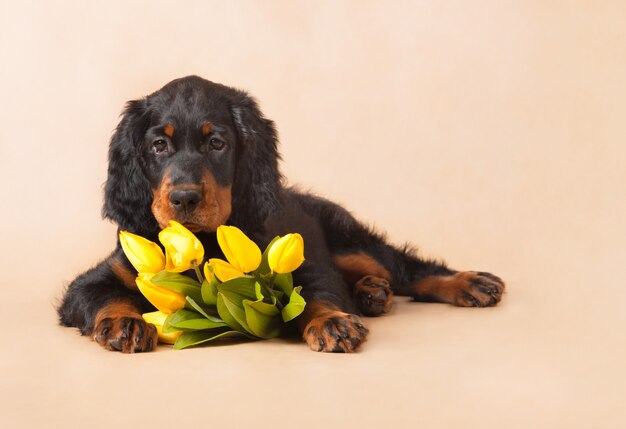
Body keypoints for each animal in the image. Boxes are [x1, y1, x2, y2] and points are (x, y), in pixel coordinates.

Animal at [57, 75, 502, 352]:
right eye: (158, 145)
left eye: (216, 143)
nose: (183, 199)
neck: (202, 244)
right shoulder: (95, 279)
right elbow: (103, 294)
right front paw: (123, 322)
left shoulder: (300, 263)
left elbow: (316, 294)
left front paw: (331, 321)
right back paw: (372, 293)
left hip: (349, 240)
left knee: (408, 268)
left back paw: (468, 283)